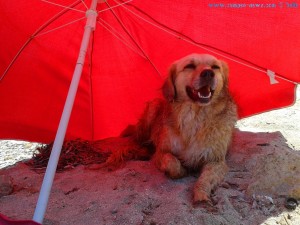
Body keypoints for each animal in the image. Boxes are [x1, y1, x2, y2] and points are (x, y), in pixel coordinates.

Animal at [99, 53, 237, 205]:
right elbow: (171, 162)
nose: (208, 73)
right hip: (153, 106)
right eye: (190, 66)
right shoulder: (162, 152)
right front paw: (182, 171)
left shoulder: (216, 160)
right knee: (137, 142)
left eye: (215, 67)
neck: (195, 116)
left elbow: (206, 177)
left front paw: (201, 194)